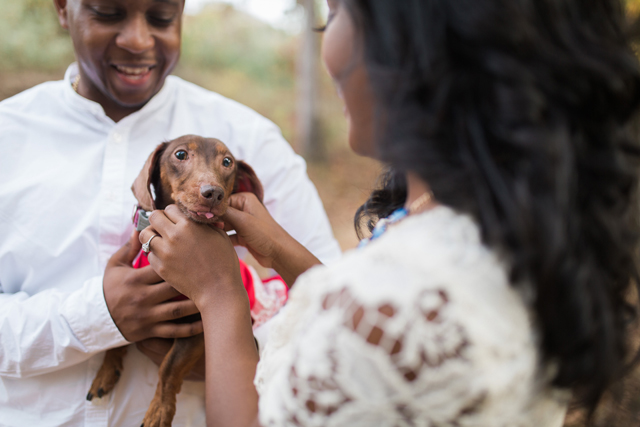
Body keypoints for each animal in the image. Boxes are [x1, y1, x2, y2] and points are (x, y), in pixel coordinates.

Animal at [87, 135, 262, 427]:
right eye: (180, 154)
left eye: (227, 162)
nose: (213, 193)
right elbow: (118, 333)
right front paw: (105, 372)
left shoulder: (196, 328)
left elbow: (169, 366)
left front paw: (159, 410)